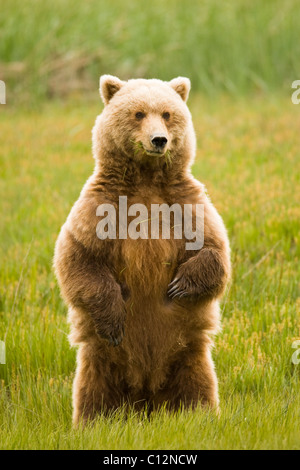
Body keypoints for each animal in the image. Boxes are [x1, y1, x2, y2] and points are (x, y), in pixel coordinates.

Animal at [54, 75, 231, 424]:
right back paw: (94, 422)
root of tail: (146, 398)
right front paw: (114, 320)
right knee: (94, 391)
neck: (147, 179)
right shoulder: (101, 206)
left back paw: (198, 415)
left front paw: (180, 285)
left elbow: (214, 249)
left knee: (198, 385)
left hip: (188, 354)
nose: (159, 140)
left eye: (166, 113)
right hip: (100, 359)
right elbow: (79, 257)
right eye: (138, 114)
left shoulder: (185, 203)